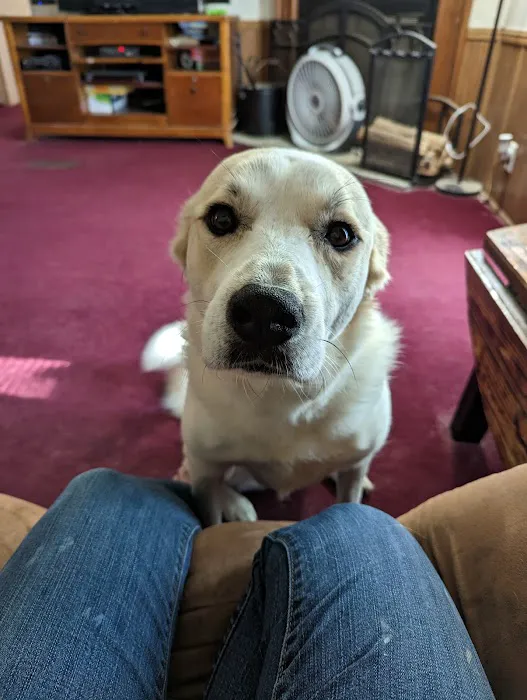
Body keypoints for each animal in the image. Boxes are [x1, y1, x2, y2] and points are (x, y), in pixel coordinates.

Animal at [142, 148, 400, 525]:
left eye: (341, 235)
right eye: (221, 218)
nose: (266, 313)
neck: (279, 395)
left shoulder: (355, 463)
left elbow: (350, 492)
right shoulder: (206, 471)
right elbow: (207, 512)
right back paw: (234, 504)